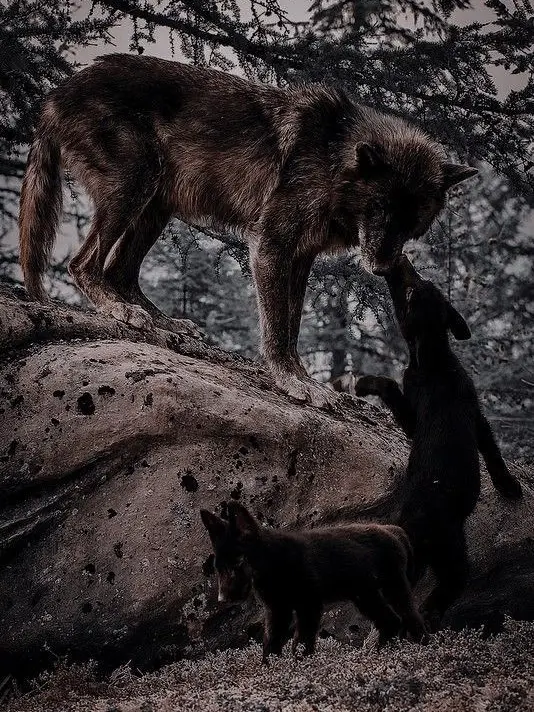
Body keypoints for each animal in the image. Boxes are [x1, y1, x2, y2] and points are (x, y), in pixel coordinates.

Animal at [19, 53, 477, 406]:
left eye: (413, 225)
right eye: (379, 209)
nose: (382, 269)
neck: (332, 158)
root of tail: (55, 95)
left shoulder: (300, 258)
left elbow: (292, 328)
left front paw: (303, 379)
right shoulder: (272, 246)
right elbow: (276, 329)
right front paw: (292, 382)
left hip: (156, 206)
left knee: (119, 270)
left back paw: (162, 321)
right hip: (135, 186)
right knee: (82, 264)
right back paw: (117, 308)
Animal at [200, 501, 426, 662]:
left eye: (238, 562)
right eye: (218, 569)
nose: (222, 599)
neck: (273, 564)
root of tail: (394, 530)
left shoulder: (308, 605)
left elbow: (301, 642)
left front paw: (302, 667)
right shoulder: (277, 610)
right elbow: (271, 643)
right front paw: (270, 671)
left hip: (393, 587)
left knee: (410, 616)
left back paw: (420, 648)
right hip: (364, 595)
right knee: (391, 620)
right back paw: (381, 654)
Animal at [355, 256, 522, 626]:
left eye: (412, 290)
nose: (402, 260)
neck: (434, 359)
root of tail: (414, 531)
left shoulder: (456, 415)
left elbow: (492, 452)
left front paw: (509, 487)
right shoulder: (473, 416)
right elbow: (491, 449)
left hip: (444, 551)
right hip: (451, 549)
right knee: (450, 584)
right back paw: (430, 613)